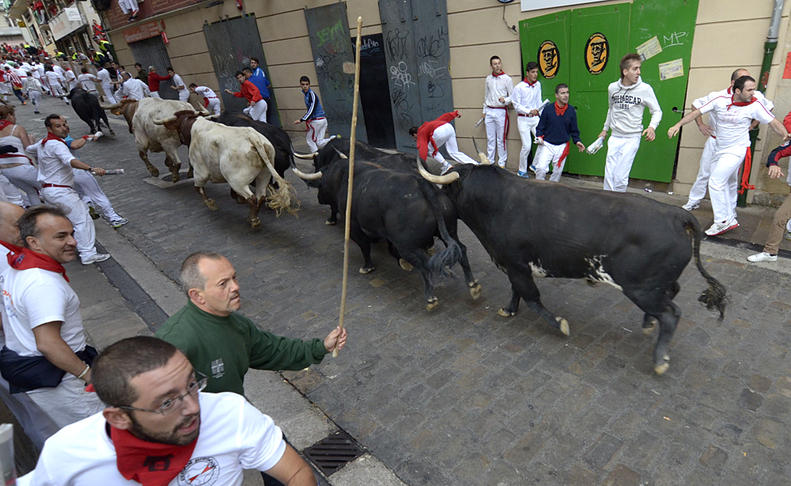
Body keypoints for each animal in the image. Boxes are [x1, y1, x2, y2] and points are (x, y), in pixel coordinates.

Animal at [420, 161, 732, 374]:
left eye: (445, 188)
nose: (433, 202)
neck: (499, 203)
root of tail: (676, 214)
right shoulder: (513, 265)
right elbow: (517, 292)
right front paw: (508, 310)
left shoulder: (517, 265)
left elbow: (532, 297)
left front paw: (559, 324)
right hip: (655, 285)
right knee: (672, 294)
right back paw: (647, 324)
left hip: (642, 288)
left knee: (670, 314)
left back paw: (660, 359)